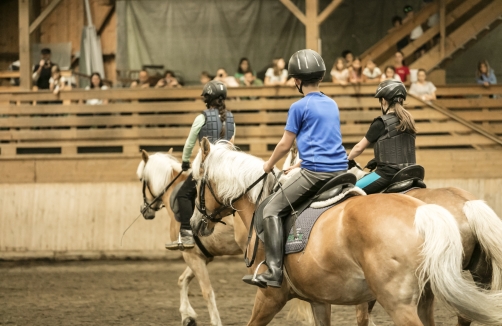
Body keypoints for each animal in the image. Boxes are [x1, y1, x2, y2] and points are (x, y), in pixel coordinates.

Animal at [137, 150, 245, 326]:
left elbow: (207, 291)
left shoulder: (191, 255)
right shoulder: (202, 256)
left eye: (141, 180)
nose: (144, 210)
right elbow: (182, 280)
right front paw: (187, 316)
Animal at [190, 138, 502, 326]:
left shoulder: (270, 297)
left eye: (195, 181)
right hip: (458, 283)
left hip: (403, 301)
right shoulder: (319, 298)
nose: (194, 223)